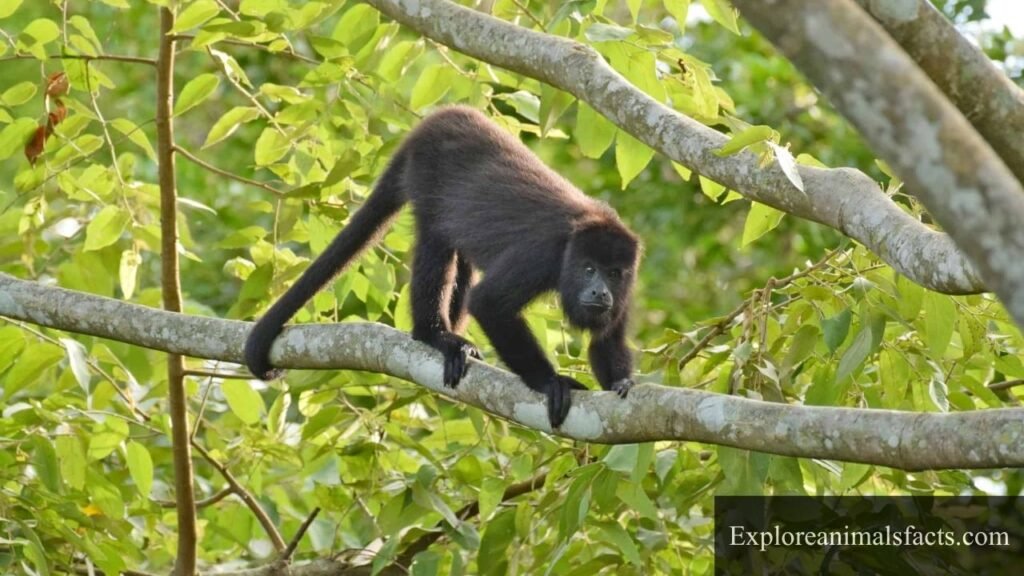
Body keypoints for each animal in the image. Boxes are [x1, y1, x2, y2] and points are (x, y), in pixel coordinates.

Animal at [244, 106, 640, 428]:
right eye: (588, 269)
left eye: (614, 273)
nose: (600, 291)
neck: (572, 247)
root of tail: (431, 124)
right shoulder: (540, 255)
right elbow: (488, 302)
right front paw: (549, 382)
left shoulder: (629, 288)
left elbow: (607, 339)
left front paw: (621, 383)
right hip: (427, 177)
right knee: (435, 244)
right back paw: (435, 335)